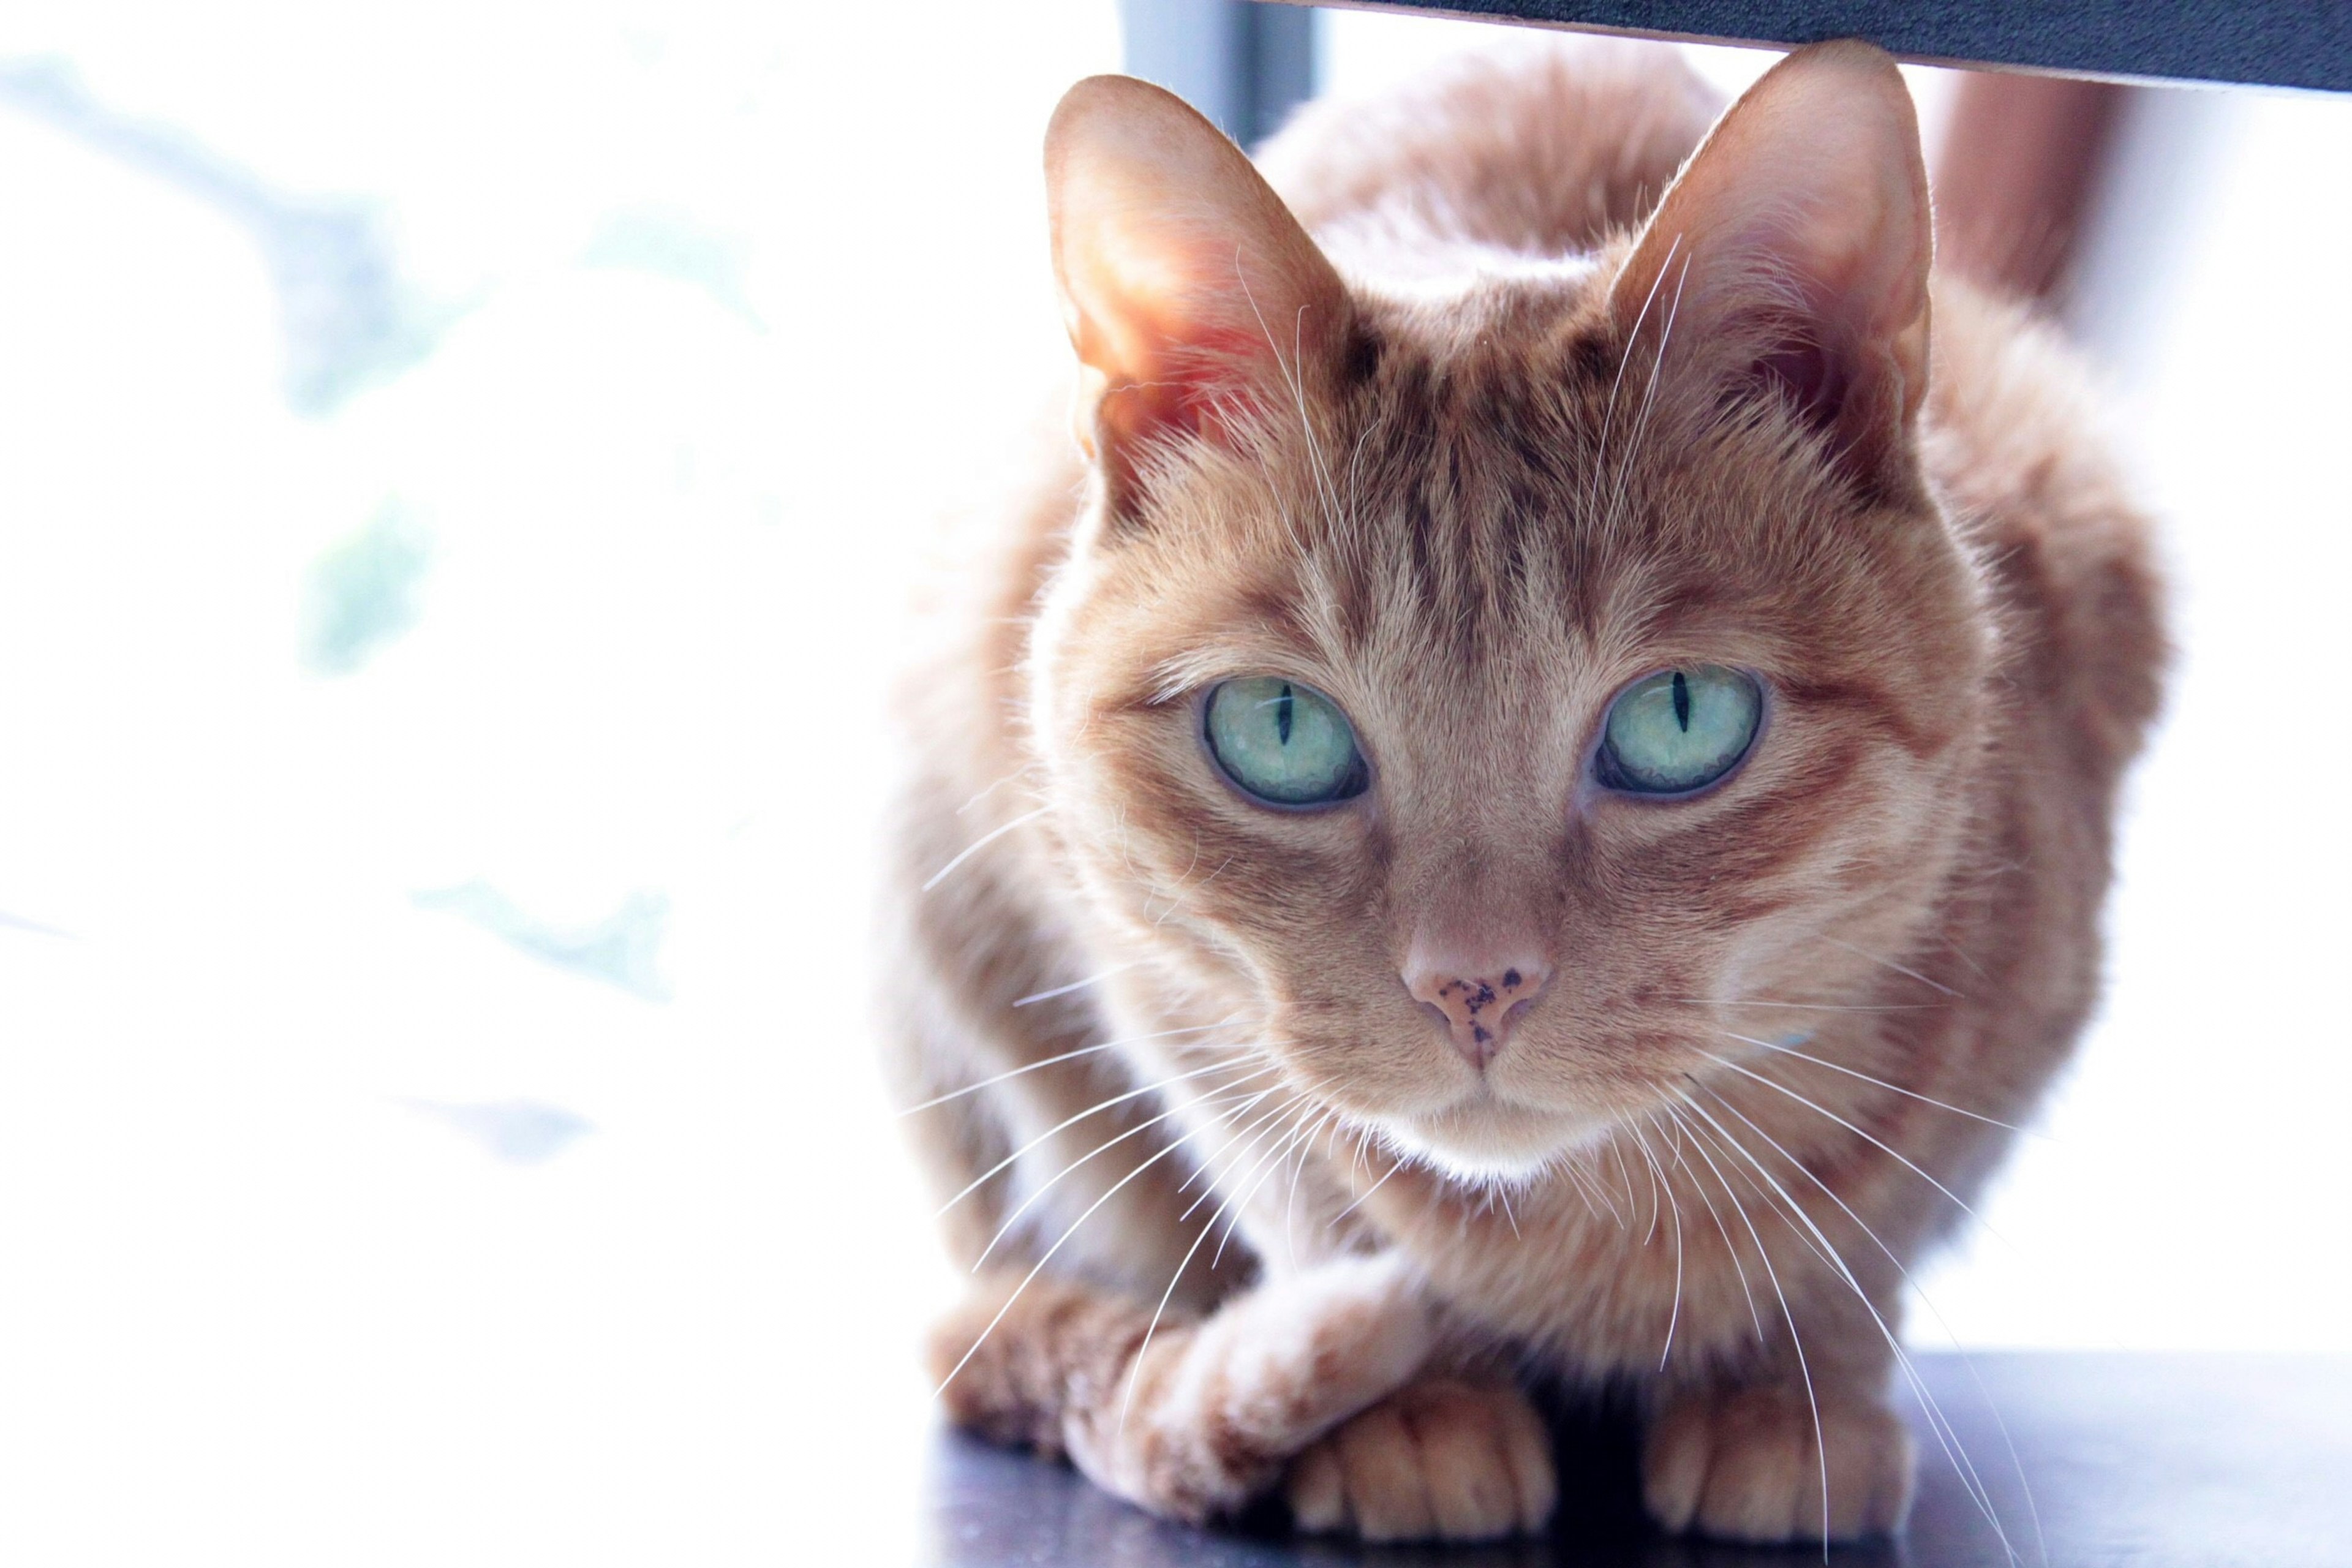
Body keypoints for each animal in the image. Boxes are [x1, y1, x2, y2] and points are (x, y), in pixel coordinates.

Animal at [884, 34, 2163, 1542]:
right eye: (1280, 730)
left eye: (1680, 718)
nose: (1472, 985)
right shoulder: (1152, 979)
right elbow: (1307, 1189)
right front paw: (1423, 1399)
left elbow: (1869, 1240)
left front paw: (1788, 1391)